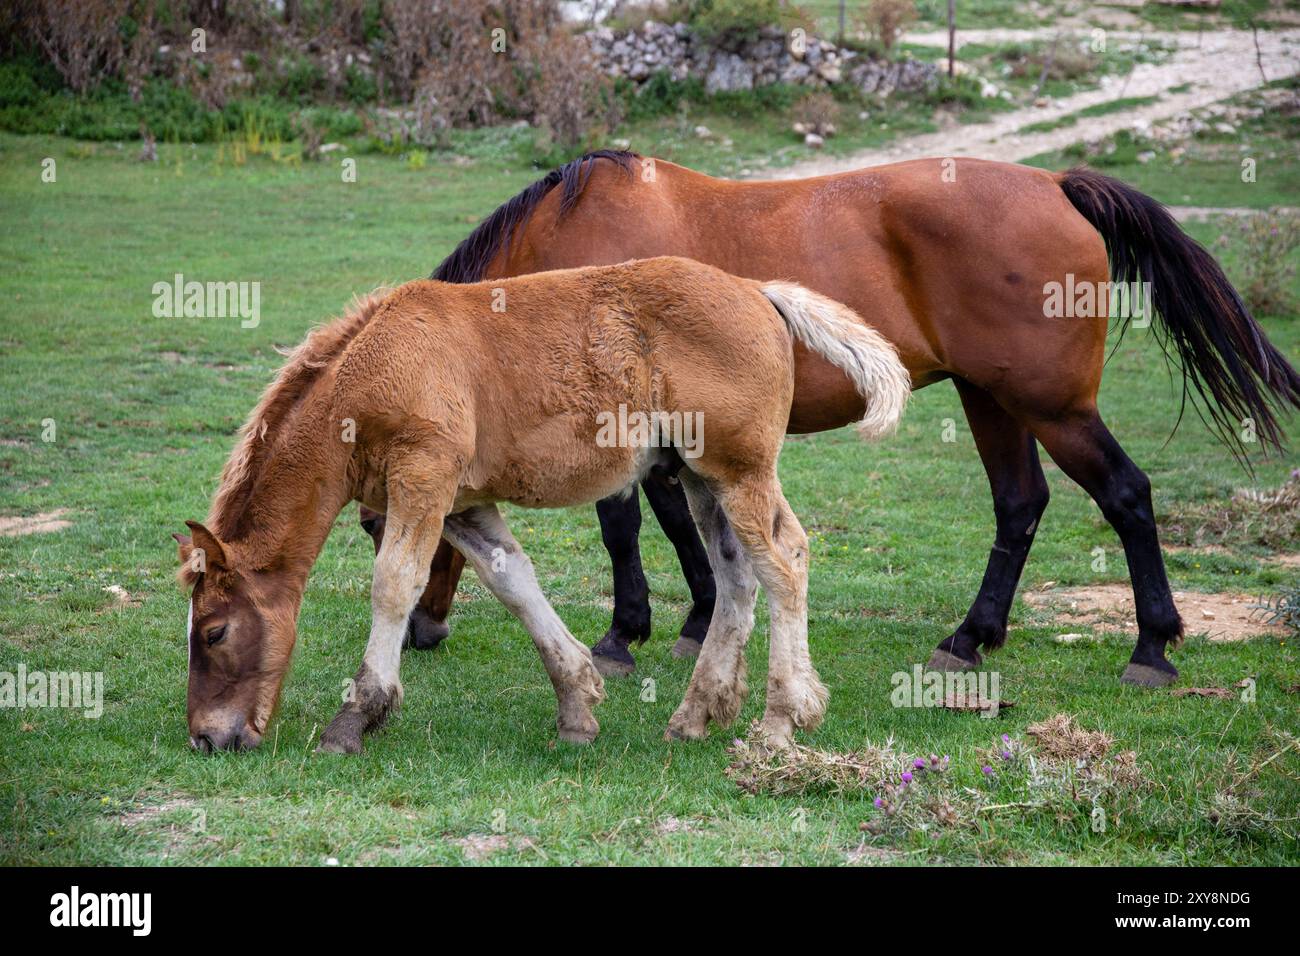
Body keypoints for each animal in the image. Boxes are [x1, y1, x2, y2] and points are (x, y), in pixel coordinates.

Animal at [174, 256, 910, 753]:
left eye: (213, 632)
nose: (208, 739)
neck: (379, 364)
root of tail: (759, 291)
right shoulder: (464, 504)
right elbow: (514, 583)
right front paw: (578, 707)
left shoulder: (424, 478)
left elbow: (393, 584)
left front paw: (356, 718)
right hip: (702, 477)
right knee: (739, 577)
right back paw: (695, 715)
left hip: (737, 470)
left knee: (783, 566)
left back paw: (781, 722)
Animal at [364, 151, 1300, 688]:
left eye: (385, 525)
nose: (421, 632)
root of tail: (1053, 185)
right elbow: (674, 521)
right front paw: (695, 618)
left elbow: (627, 526)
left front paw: (628, 632)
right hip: (991, 399)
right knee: (1020, 506)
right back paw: (972, 638)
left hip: (1051, 407)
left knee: (1127, 496)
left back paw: (1152, 648)